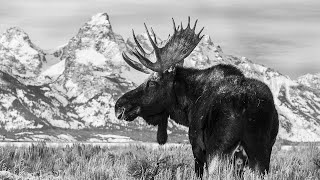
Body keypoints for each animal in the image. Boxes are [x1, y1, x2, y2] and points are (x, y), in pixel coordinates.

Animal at [114, 17, 278, 178]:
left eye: (152, 82)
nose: (119, 107)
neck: (188, 105)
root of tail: (246, 102)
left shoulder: (197, 147)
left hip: (219, 150)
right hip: (260, 152)